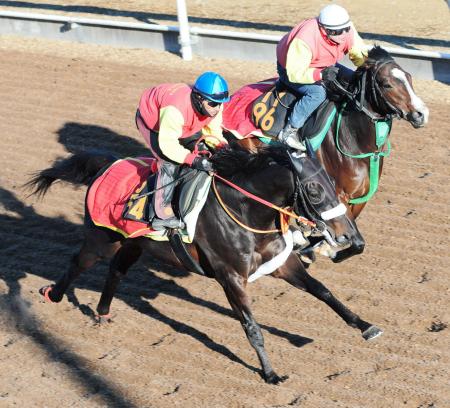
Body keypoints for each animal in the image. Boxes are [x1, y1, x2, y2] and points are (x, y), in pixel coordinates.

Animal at [26, 146, 382, 382]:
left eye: (334, 183)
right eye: (313, 189)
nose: (349, 236)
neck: (245, 211)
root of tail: (105, 164)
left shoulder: (282, 264)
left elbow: (323, 291)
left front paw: (365, 326)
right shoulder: (231, 277)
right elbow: (251, 327)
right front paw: (270, 373)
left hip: (134, 243)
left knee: (116, 270)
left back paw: (102, 312)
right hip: (103, 239)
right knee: (78, 262)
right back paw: (52, 295)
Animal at [232, 46, 428, 262]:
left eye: (409, 77)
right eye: (387, 84)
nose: (421, 114)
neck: (354, 139)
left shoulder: (360, 197)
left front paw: (317, 243)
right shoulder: (337, 192)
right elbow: (355, 242)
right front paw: (316, 246)